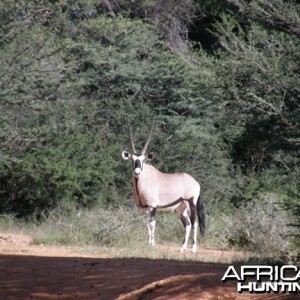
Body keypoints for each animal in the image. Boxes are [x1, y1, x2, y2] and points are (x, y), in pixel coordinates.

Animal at [122, 120, 206, 252]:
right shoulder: (143, 208)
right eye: (132, 160)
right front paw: (148, 243)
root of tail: (195, 183)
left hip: (191, 203)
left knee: (194, 223)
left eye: (143, 160)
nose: (137, 172)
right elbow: (146, 224)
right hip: (181, 208)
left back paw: (193, 249)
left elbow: (152, 224)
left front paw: (152, 244)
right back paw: (182, 248)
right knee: (187, 224)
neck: (143, 181)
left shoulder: (153, 206)